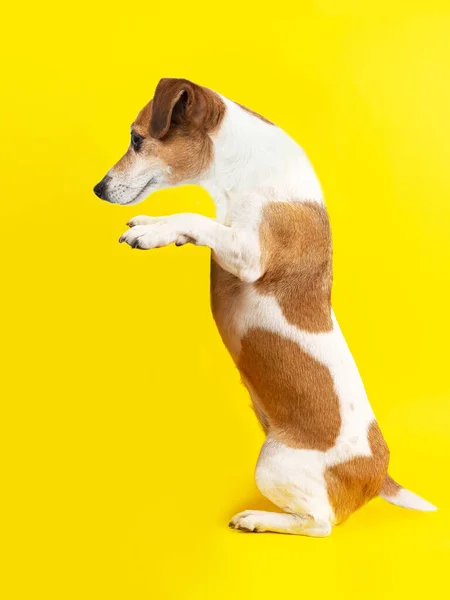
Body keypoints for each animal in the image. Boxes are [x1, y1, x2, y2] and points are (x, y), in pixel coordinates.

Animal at [94, 77, 436, 536]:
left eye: (136, 139)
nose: (98, 188)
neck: (245, 170)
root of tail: (379, 474)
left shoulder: (249, 254)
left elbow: (198, 219)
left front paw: (153, 233)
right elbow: (195, 221)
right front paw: (154, 225)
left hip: (274, 464)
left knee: (319, 523)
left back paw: (258, 518)